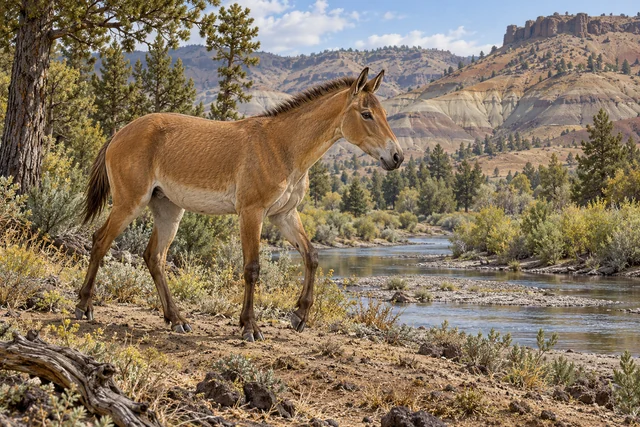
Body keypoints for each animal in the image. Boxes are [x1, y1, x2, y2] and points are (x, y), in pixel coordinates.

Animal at [78, 67, 403, 341]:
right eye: (366, 114)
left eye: (384, 113)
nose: (397, 157)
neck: (281, 146)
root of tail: (119, 134)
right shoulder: (251, 213)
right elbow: (252, 268)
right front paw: (249, 326)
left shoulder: (284, 215)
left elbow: (311, 256)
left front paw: (299, 315)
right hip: (129, 204)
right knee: (100, 242)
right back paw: (84, 306)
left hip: (168, 209)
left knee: (154, 258)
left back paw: (176, 319)